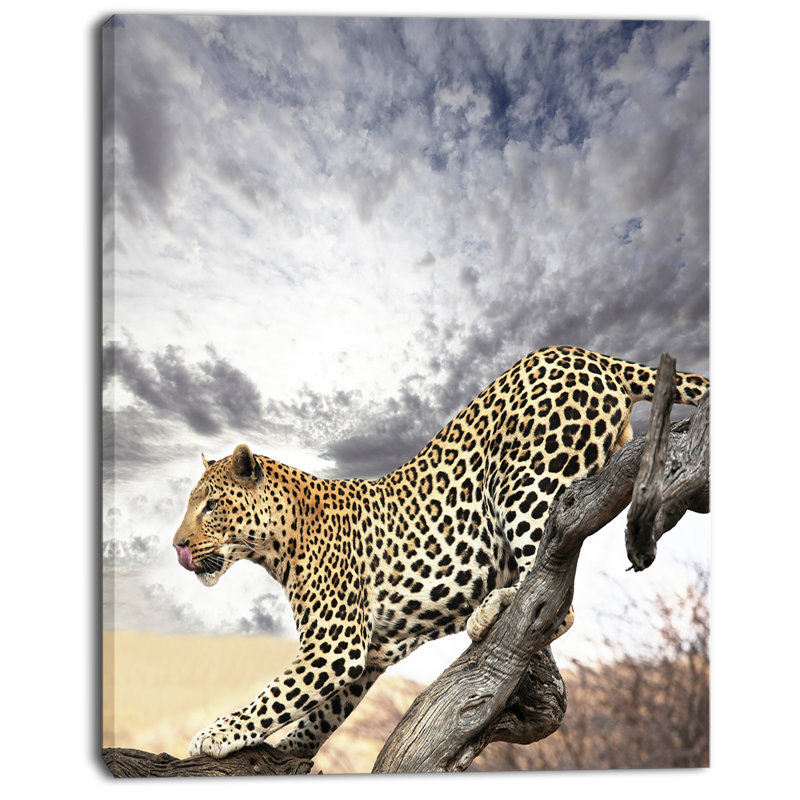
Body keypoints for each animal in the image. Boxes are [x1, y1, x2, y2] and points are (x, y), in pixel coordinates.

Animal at [172, 345, 708, 759]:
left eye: (211, 505)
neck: (276, 543)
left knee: (555, 591)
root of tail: (589, 354)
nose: (177, 546)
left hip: (524, 481)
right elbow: (316, 714)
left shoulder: (335, 644)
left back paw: (492, 608)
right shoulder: (367, 654)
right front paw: (288, 752)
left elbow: (273, 696)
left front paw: (215, 735)